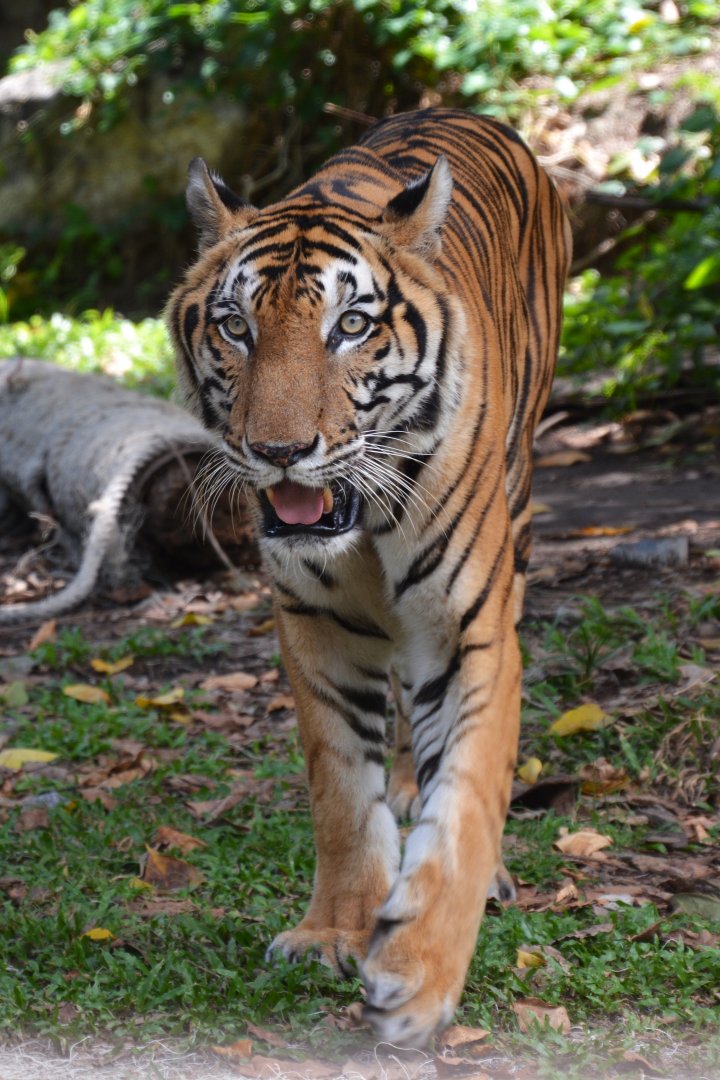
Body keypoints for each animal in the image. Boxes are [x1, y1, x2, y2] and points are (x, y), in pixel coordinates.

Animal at [167, 107, 572, 1045]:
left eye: (350, 327)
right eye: (235, 327)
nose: (280, 450)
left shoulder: (468, 632)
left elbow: (465, 797)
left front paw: (417, 975)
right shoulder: (315, 627)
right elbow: (343, 788)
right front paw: (338, 932)